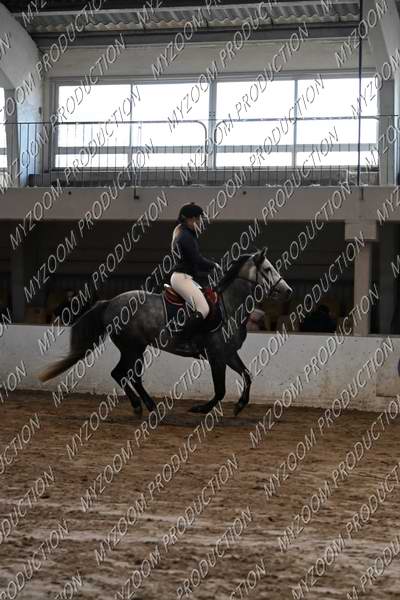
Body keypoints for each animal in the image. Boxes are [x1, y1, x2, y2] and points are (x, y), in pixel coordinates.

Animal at [38, 248, 292, 416]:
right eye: (268, 269)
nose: (288, 291)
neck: (229, 306)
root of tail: (111, 302)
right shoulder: (216, 356)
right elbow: (220, 390)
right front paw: (201, 408)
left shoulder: (229, 354)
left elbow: (247, 376)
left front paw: (240, 405)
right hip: (132, 347)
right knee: (123, 374)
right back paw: (143, 406)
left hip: (134, 348)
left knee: (127, 375)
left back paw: (146, 406)